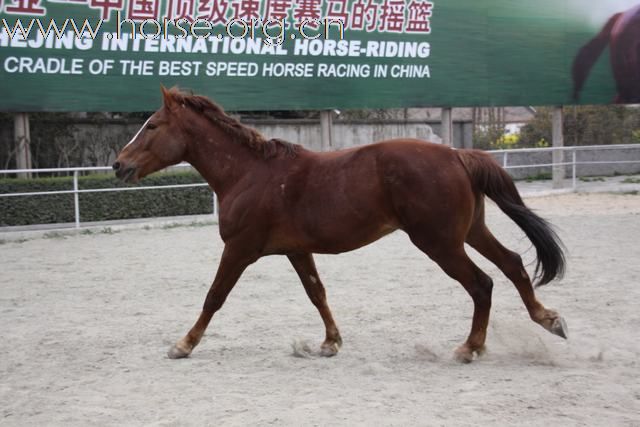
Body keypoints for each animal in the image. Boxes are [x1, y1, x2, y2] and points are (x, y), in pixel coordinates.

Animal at [112, 88, 568, 364]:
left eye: (151, 126)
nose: (118, 164)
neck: (249, 173)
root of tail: (458, 154)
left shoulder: (239, 250)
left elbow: (214, 296)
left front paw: (182, 344)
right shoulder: (297, 250)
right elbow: (317, 293)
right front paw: (330, 342)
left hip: (439, 243)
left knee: (482, 283)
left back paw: (470, 348)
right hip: (469, 232)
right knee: (513, 264)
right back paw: (549, 320)